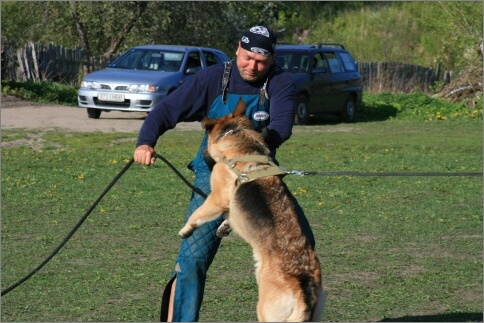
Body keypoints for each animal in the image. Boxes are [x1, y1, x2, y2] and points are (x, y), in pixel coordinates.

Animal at [178, 100, 326, 322]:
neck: (237, 135)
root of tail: (303, 287)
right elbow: (228, 216)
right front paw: (224, 226)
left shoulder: (217, 198)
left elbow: (198, 215)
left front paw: (185, 230)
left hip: (265, 312)